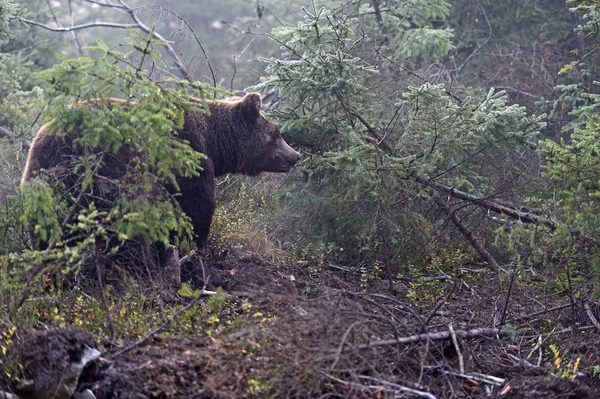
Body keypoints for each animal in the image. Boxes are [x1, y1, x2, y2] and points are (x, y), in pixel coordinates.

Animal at [21, 93, 302, 248]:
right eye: (277, 133)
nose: (295, 156)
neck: (214, 140)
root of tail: (44, 134)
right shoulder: (186, 155)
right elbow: (196, 205)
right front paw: (195, 243)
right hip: (95, 169)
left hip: (43, 176)